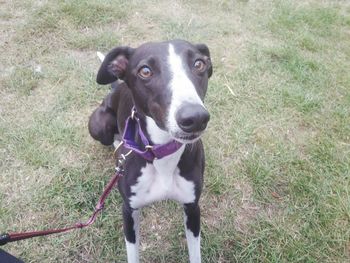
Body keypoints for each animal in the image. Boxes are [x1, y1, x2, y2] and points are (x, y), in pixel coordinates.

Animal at [89, 39, 212, 263]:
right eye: (145, 71)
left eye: (199, 64)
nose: (196, 118)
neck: (161, 152)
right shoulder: (129, 210)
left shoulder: (192, 207)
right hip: (98, 125)